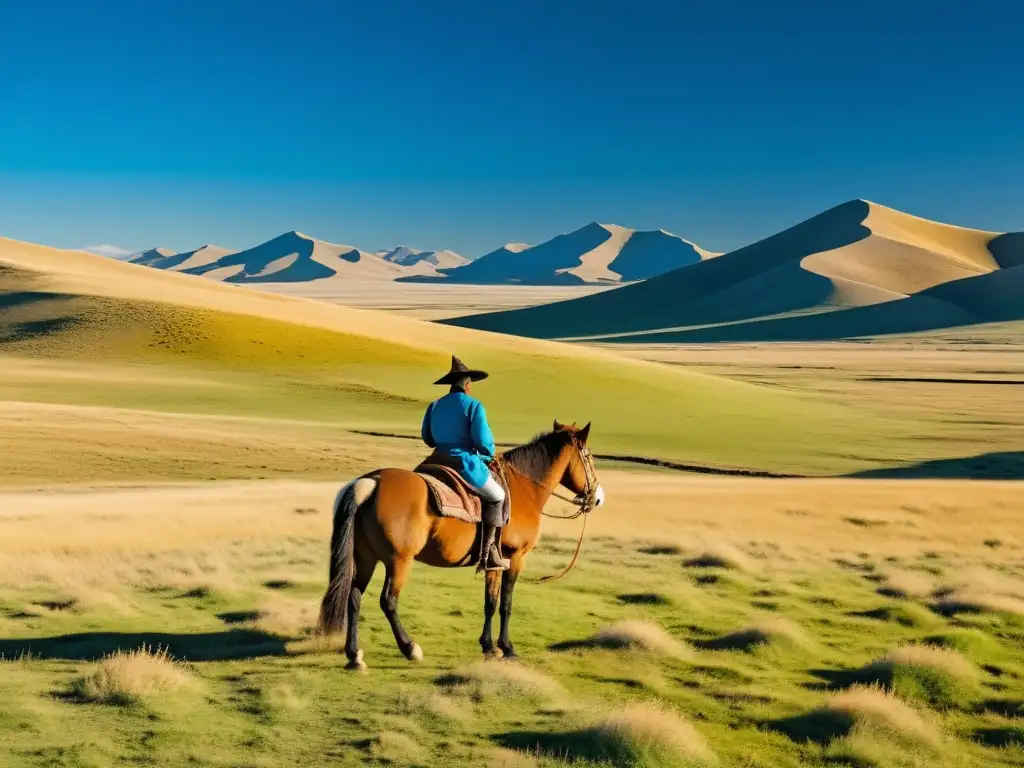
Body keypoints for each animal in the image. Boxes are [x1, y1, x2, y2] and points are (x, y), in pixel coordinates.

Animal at [317, 423, 598, 671]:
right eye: (589, 457)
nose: (594, 496)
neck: (525, 487)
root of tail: (371, 482)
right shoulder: (516, 557)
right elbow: (505, 603)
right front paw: (506, 647)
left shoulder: (494, 562)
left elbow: (490, 602)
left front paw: (488, 646)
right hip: (398, 561)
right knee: (388, 602)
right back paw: (410, 648)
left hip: (366, 558)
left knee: (354, 598)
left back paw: (354, 655)